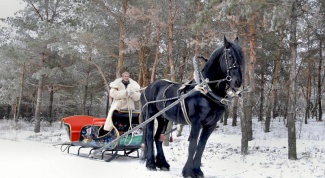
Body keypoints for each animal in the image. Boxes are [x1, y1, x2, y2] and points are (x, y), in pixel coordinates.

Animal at [139, 35, 243, 177]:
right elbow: (193, 146)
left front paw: (198, 170)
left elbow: (201, 147)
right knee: (149, 136)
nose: (238, 82)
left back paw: (163, 164)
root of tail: (147, 88)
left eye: (241, 57)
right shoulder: (196, 122)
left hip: (163, 118)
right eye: (230, 55)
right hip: (149, 115)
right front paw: (188, 171)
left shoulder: (210, 125)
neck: (206, 91)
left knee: (158, 138)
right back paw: (151, 164)